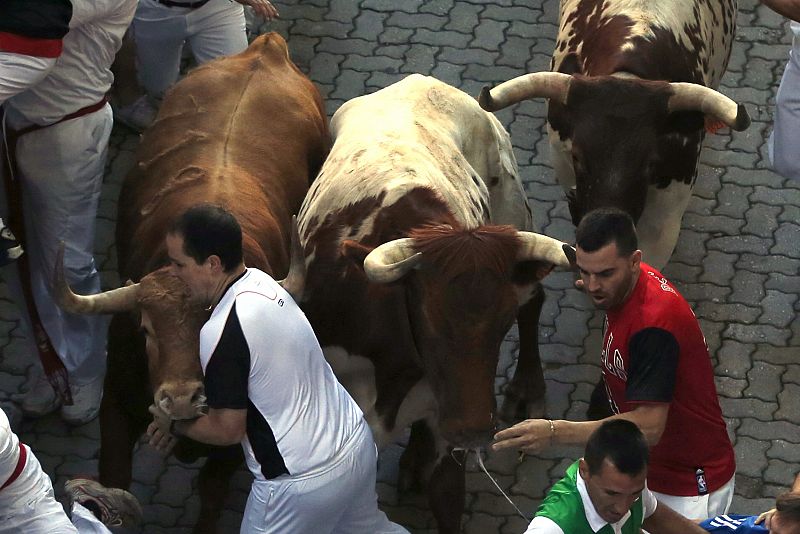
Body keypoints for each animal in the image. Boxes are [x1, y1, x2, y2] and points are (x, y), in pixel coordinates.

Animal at [54, 33, 328, 534]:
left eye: (214, 327)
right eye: (145, 330)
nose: (181, 399)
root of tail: (265, 47)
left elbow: (212, 492)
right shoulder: (115, 406)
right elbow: (115, 481)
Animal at [296, 75, 572, 534]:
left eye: (500, 326)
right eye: (428, 319)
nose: (474, 431)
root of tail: (423, 81)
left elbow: (447, 495)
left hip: (513, 211)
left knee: (533, 303)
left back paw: (526, 389)